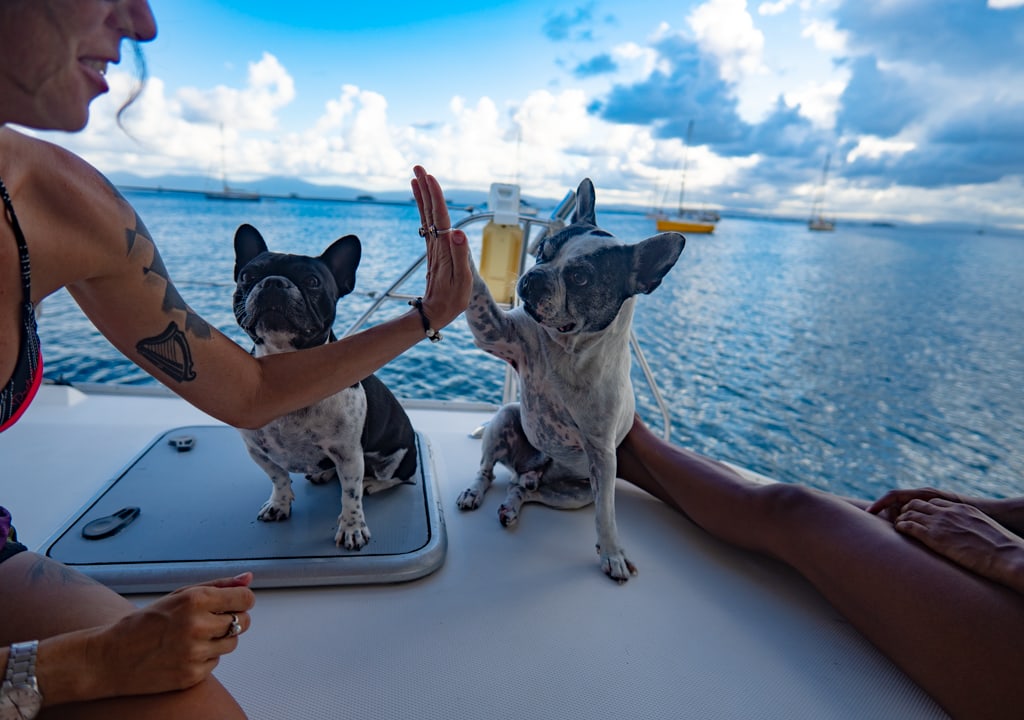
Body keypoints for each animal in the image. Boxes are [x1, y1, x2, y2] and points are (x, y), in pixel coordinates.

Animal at [458, 177, 684, 581]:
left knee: (525, 489)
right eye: (542, 253)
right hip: (505, 418)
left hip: (576, 493)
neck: (568, 348)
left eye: (580, 278)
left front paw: (611, 552)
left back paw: (515, 502)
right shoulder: (495, 330)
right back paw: (475, 492)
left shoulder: (602, 455)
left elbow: (606, 513)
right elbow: (478, 290)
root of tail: (533, 469)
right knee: (487, 471)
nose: (533, 277)